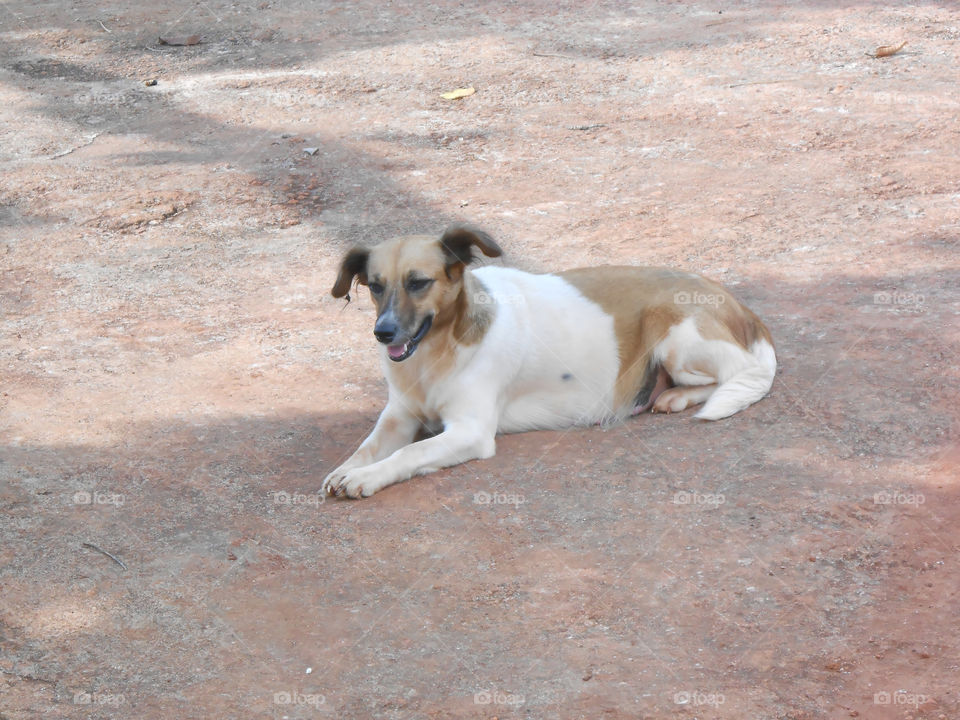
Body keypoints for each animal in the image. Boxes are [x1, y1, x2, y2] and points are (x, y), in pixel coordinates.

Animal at [322, 225, 772, 496]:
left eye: (418, 283)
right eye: (375, 286)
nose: (382, 333)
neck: (438, 350)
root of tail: (730, 298)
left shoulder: (470, 431)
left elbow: (408, 455)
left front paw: (367, 478)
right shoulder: (399, 416)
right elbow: (368, 446)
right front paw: (349, 469)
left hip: (678, 338)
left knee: (741, 373)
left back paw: (676, 397)